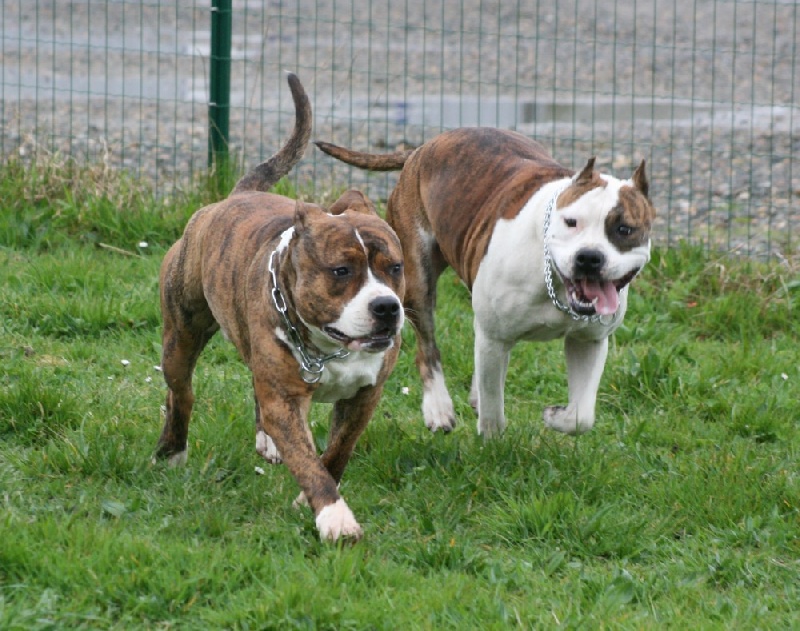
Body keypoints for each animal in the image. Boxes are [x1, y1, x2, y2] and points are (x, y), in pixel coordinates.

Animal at [153, 73, 405, 542]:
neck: (330, 349)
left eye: (395, 267)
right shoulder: (285, 400)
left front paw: (310, 499)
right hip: (180, 335)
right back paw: (171, 451)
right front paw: (335, 517)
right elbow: (309, 462)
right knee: (181, 392)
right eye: (342, 270)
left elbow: (335, 453)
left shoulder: (364, 397)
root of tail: (234, 196)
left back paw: (264, 441)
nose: (386, 307)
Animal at [317, 128, 655, 438]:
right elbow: (493, 409)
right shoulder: (495, 338)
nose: (589, 257)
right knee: (428, 349)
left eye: (624, 229)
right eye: (571, 222)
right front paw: (492, 446)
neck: (554, 284)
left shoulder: (589, 341)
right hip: (416, 279)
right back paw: (438, 408)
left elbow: (581, 416)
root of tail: (425, 146)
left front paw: (555, 416)